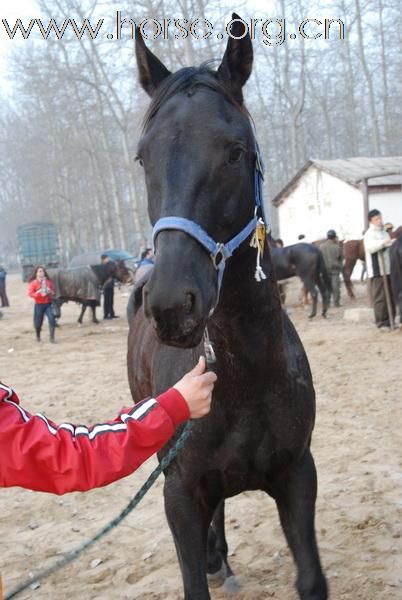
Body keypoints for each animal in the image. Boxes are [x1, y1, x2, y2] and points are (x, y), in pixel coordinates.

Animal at [127, 18, 328, 600]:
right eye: (144, 157)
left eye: (235, 151)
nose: (173, 304)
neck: (244, 374)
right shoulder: (178, 492)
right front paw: (211, 563)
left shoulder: (298, 477)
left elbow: (312, 579)